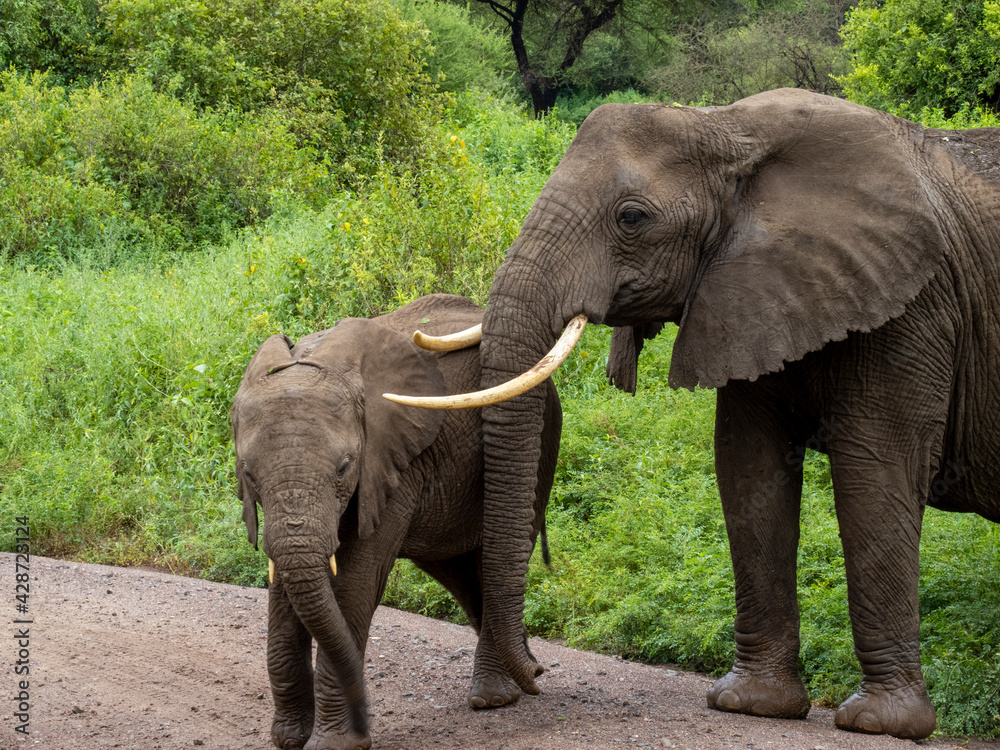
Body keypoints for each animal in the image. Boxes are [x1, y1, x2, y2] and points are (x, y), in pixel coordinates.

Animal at [232, 294, 561, 750]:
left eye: (344, 468)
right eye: (249, 475)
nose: (364, 718)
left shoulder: (393, 463)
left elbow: (354, 583)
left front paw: (334, 745)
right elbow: (284, 586)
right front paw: (291, 739)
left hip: (541, 436)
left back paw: (498, 696)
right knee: (461, 572)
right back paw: (523, 671)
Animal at [386, 89, 1000, 740]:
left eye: (632, 218)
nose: (534, 675)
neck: (726, 126)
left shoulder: (912, 308)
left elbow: (875, 476)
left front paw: (879, 723)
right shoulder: (752, 299)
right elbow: (747, 468)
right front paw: (752, 706)